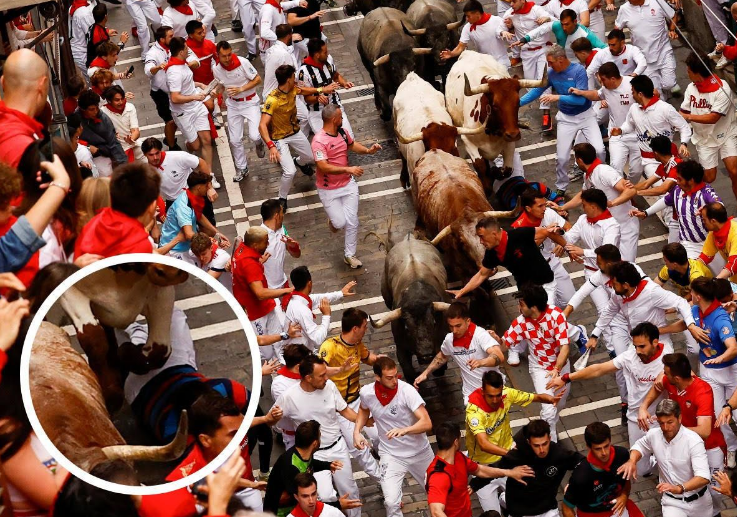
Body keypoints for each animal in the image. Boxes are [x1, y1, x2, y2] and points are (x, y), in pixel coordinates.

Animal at [59, 264, 190, 414]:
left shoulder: (161, 293)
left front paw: (125, 354)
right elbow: (94, 339)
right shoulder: (71, 291)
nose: (170, 273)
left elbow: (158, 351)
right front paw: (110, 392)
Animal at [366, 211, 448, 382]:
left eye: (434, 322)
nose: (426, 354)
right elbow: (408, 370)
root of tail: (409, 238)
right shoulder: (401, 348)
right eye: (406, 327)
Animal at [442, 51, 548, 194]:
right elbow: (480, 165)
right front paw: (487, 181)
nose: (514, 134)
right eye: (495, 105)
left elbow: (507, 170)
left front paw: (495, 172)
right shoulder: (467, 140)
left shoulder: (509, 142)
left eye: (518, 102)